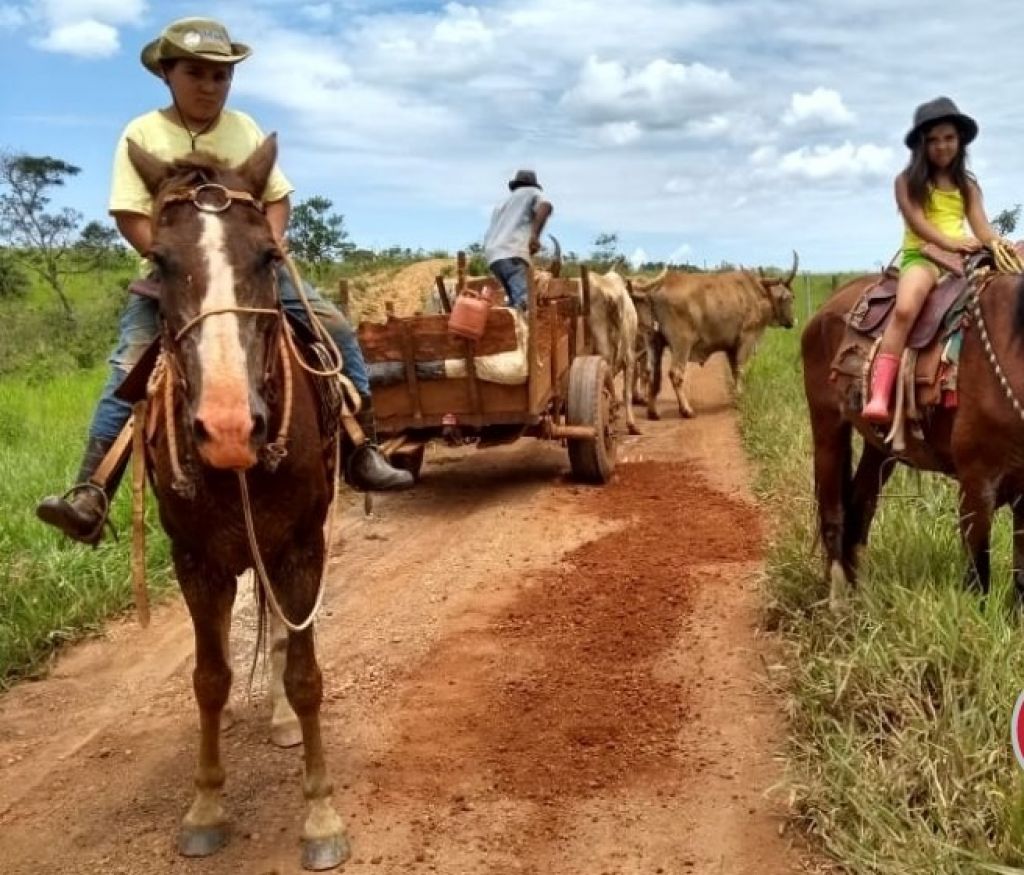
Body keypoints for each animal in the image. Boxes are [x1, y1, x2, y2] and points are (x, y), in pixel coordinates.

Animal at [122, 137, 348, 868]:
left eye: (270, 257)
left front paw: (320, 815)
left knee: (278, 637)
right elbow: (209, 678)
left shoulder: (303, 547)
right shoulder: (196, 561)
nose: (227, 429)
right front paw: (205, 806)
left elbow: (305, 674)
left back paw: (279, 718)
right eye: (159, 263)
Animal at [802, 264, 1024, 614]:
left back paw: (864, 598)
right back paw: (839, 603)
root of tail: (827, 307)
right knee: (833, 512)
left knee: (860, 508)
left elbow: (1021, 580)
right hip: (827, 428)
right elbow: (977, 576)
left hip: (879, 446)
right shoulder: (976, 485)